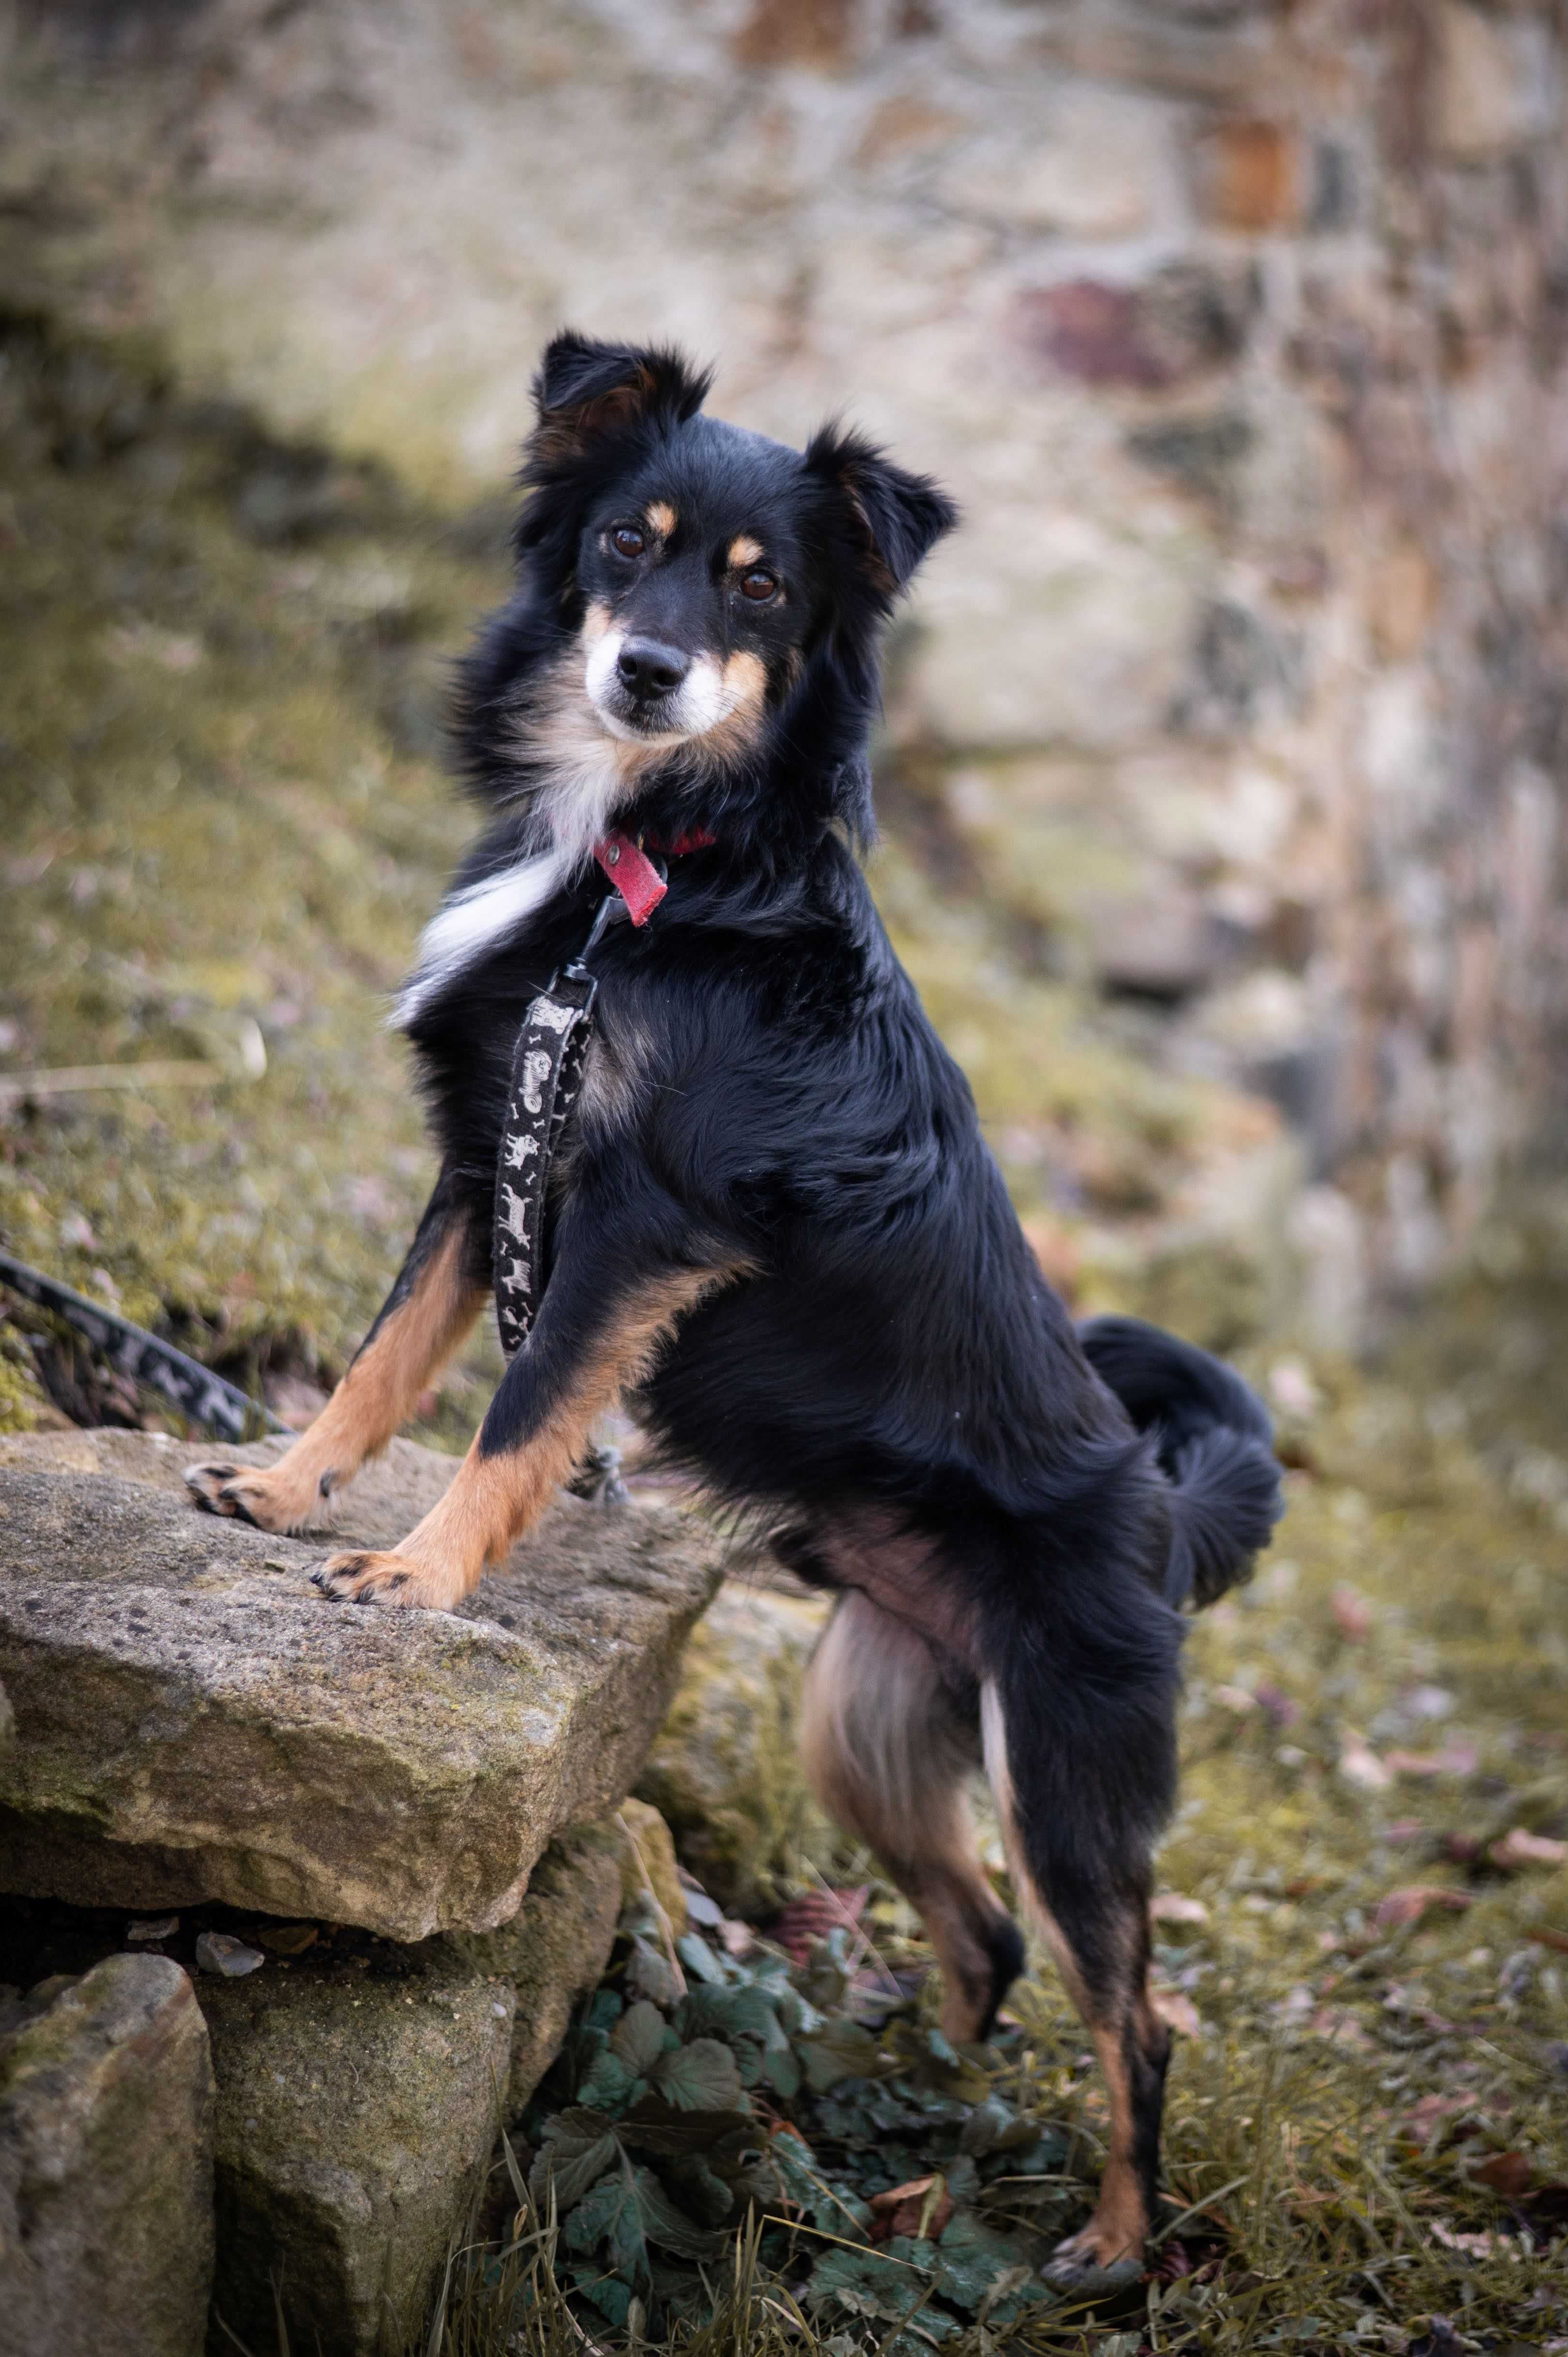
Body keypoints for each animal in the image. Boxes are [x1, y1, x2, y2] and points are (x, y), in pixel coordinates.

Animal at [186, 332, 1283, 2282]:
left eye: (763, 589)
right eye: (630, 542)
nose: (647, 668)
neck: (643, 876)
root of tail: (1159, 1505)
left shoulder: (639, 1222)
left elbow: (515, 1408)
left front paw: (416, 1578)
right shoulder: (491, 1159)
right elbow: (389, 1358)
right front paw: (288, 1482)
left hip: (1065, 1778)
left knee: (1129, 2013)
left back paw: (1104, 2236)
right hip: (863, 1722)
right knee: (985, 1941)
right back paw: (900, 2107)